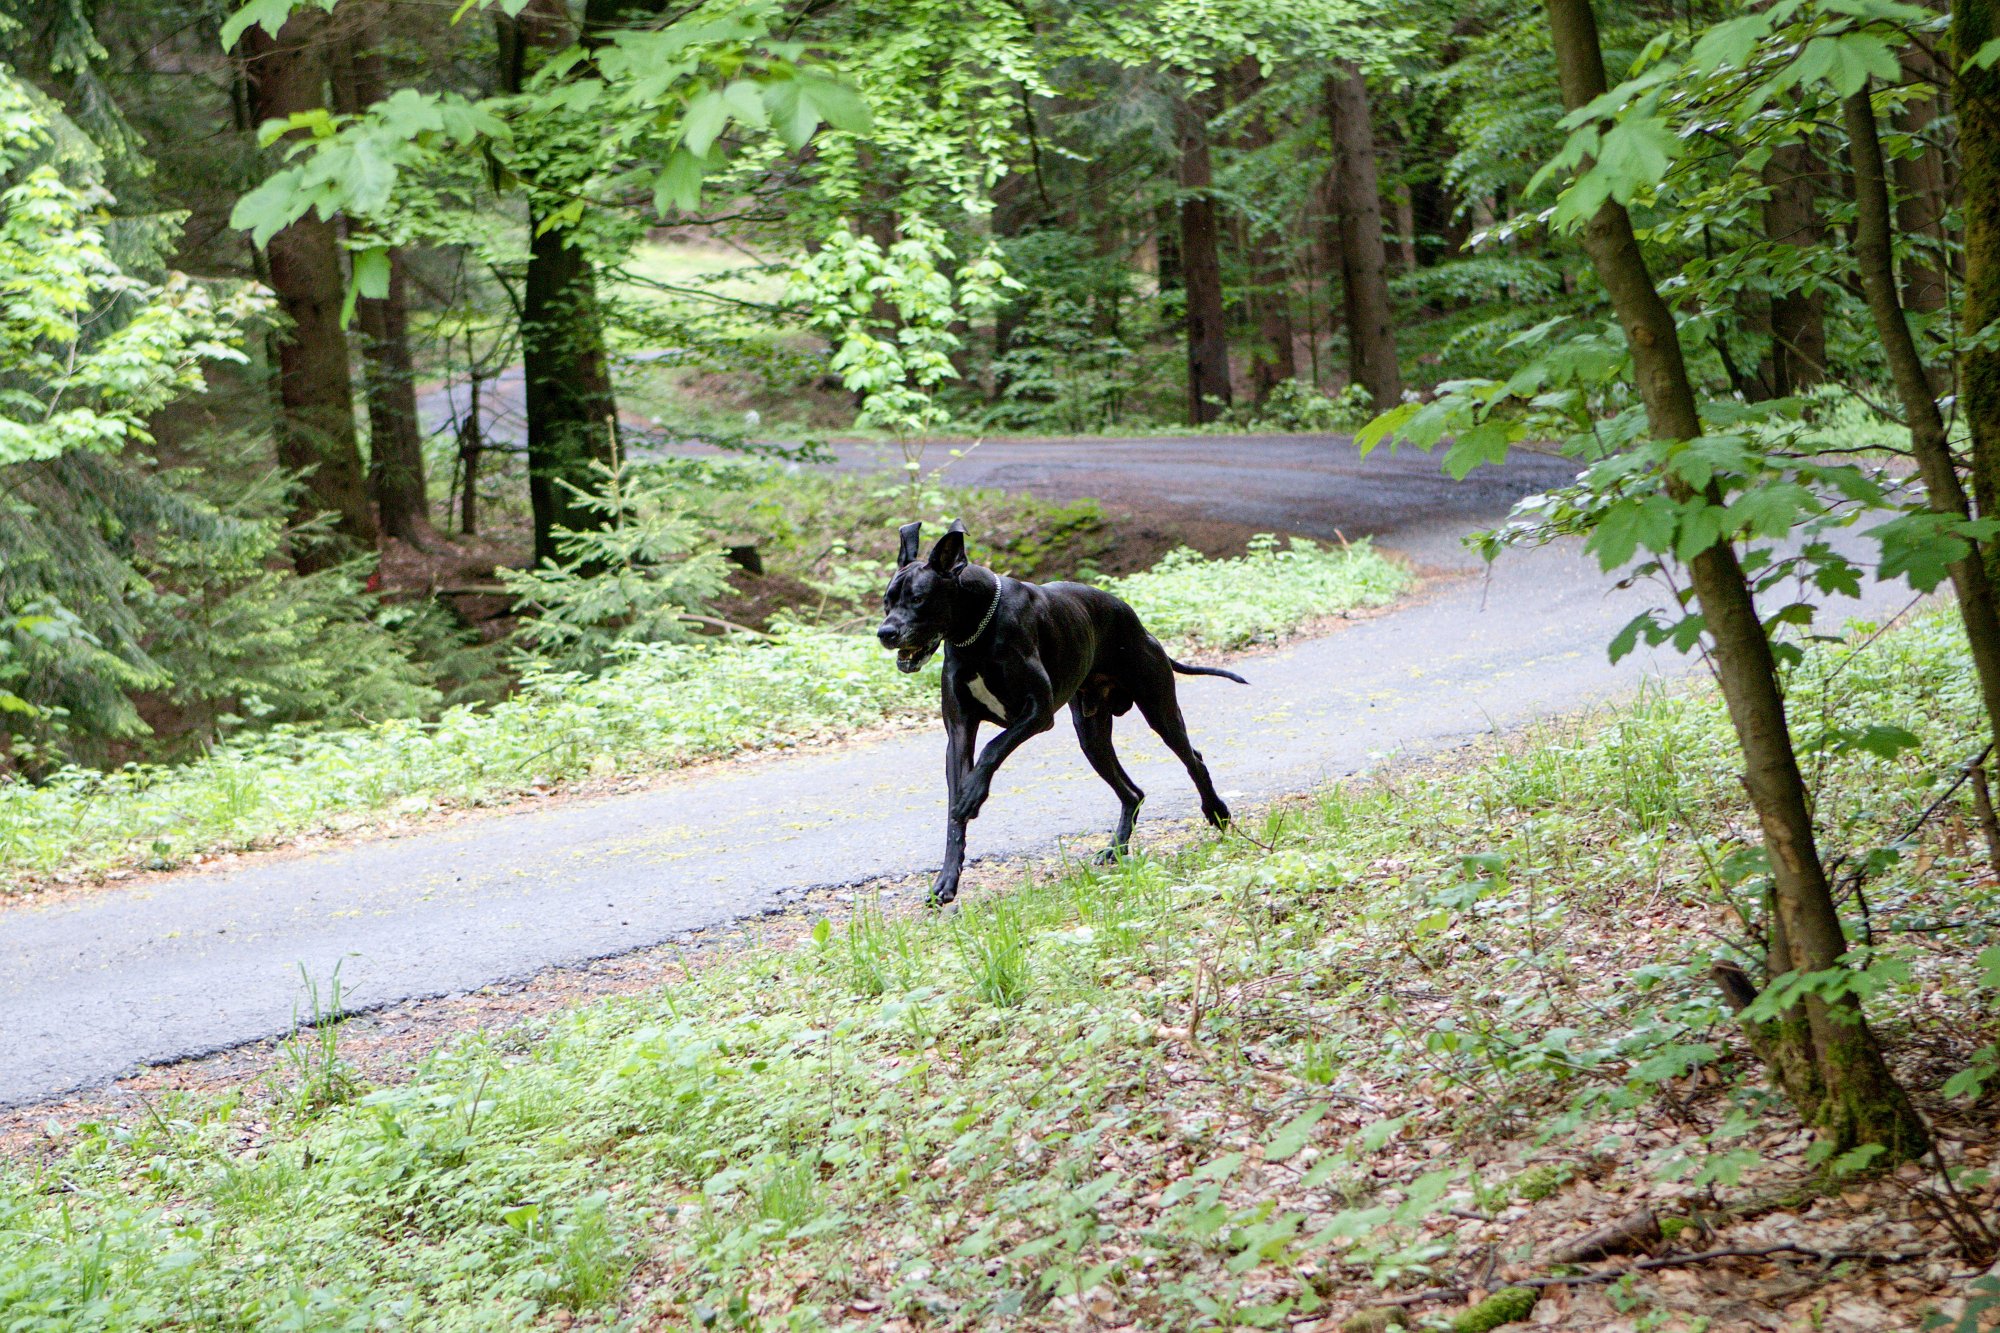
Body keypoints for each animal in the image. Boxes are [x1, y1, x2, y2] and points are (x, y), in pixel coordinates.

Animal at [880, 520, 1240, 904]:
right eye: (886, 601)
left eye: (918, 599)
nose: (885, 632)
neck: (976, 634)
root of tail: (1138, 623)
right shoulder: (960, 732)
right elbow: (954, 811)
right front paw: (947, 878)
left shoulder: (1037, 712)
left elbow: (993, 748)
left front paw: (973, 794)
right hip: (1092, 737)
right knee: (1132, 793)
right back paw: (1116, 848)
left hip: (1159, 710)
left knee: (1192, 758)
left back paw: (1216, 812)